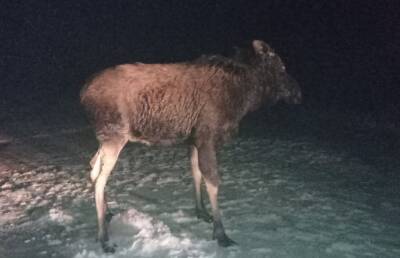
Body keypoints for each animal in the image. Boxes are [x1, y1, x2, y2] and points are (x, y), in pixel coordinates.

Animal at [80, 39, 300, 252]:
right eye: (281, 67)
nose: (298, 94)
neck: (242, 99)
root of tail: (83, 94)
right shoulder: (207, 138)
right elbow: (213, 182)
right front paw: (221, 234)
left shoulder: (194, 140)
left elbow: (196, 173)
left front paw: (201, 212)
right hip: (114, 135)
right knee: (99, 179)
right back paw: (104, 239)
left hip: (106, 138)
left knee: (93, 166)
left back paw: (108, 213)